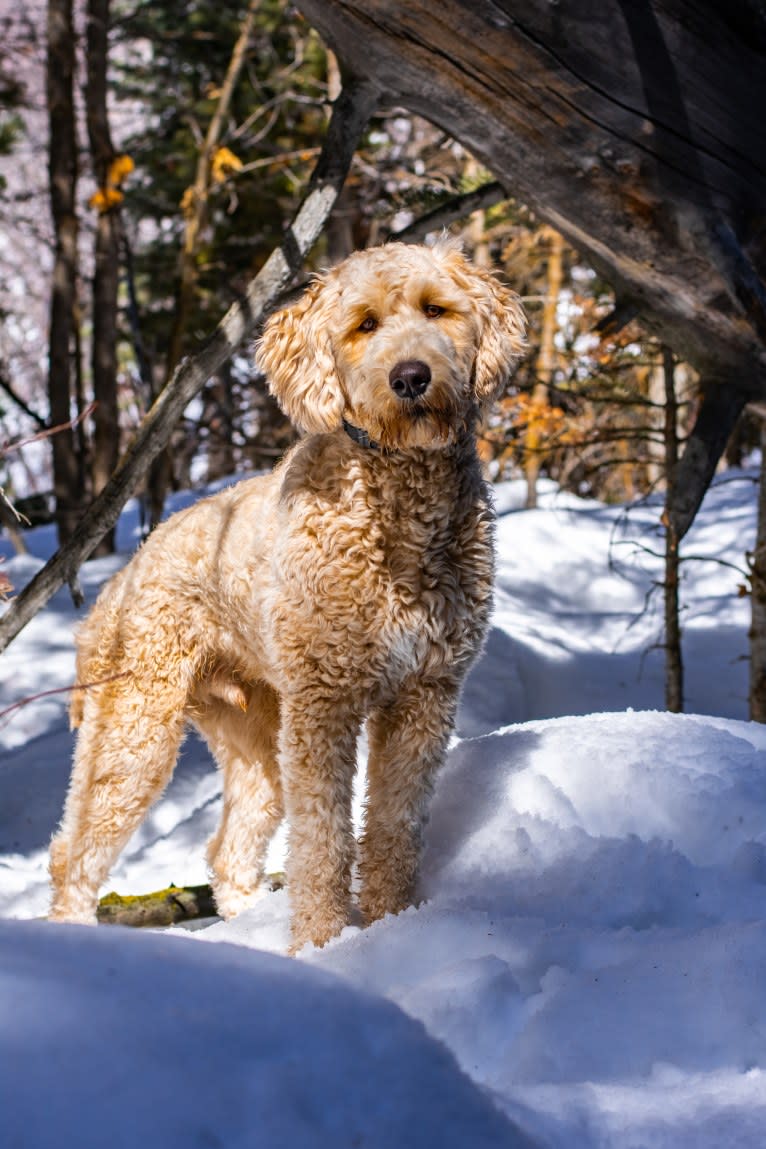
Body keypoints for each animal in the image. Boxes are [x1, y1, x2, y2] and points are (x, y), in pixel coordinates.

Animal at [49, 237, 528, 946]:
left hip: (254, 732)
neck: (396, 507)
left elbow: (393, 827)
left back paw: (248, 919)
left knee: (228, 846)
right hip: (135, 727)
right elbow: (323, 840)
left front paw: (391, 928)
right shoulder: (324, 704)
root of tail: (121, 577)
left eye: (436, 309)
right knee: (74, 851)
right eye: (364, 324)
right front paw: (323, 946)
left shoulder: (426, 694)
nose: (411, 377)